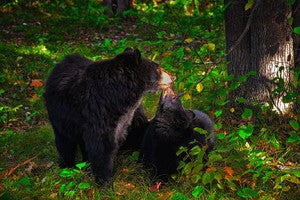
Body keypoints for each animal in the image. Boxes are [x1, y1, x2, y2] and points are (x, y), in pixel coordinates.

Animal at [43, 48, 172, 183]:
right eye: (157, 68)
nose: (173, 77)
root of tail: (60, 62)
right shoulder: (98, 115)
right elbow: (102, 147)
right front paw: (105, 181)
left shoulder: (124, 120)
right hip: (60, 115)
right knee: (64, 140)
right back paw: (67, 165)